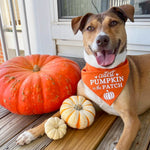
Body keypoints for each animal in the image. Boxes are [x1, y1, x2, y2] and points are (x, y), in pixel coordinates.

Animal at [16, 4, 150, 150]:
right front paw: (30, 133)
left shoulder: (132, 119)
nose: (102, 40)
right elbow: (51, 116)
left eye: (113, 23)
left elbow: (122, 144)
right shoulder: (84, 100)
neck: (102, 73)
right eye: (90, 28)